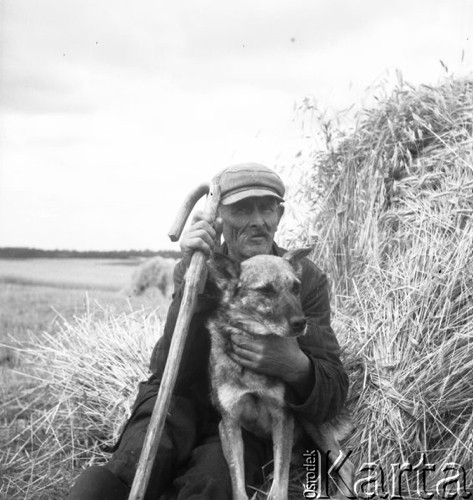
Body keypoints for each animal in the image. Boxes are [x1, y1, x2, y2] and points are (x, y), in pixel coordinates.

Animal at [207, 249, 354, 500]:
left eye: (296, 288)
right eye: (266, 290)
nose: (301, 323)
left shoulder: (283, 418)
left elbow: (279, 485)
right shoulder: (230, 423)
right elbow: (238, 484)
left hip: (309, 420)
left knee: (347, 465)